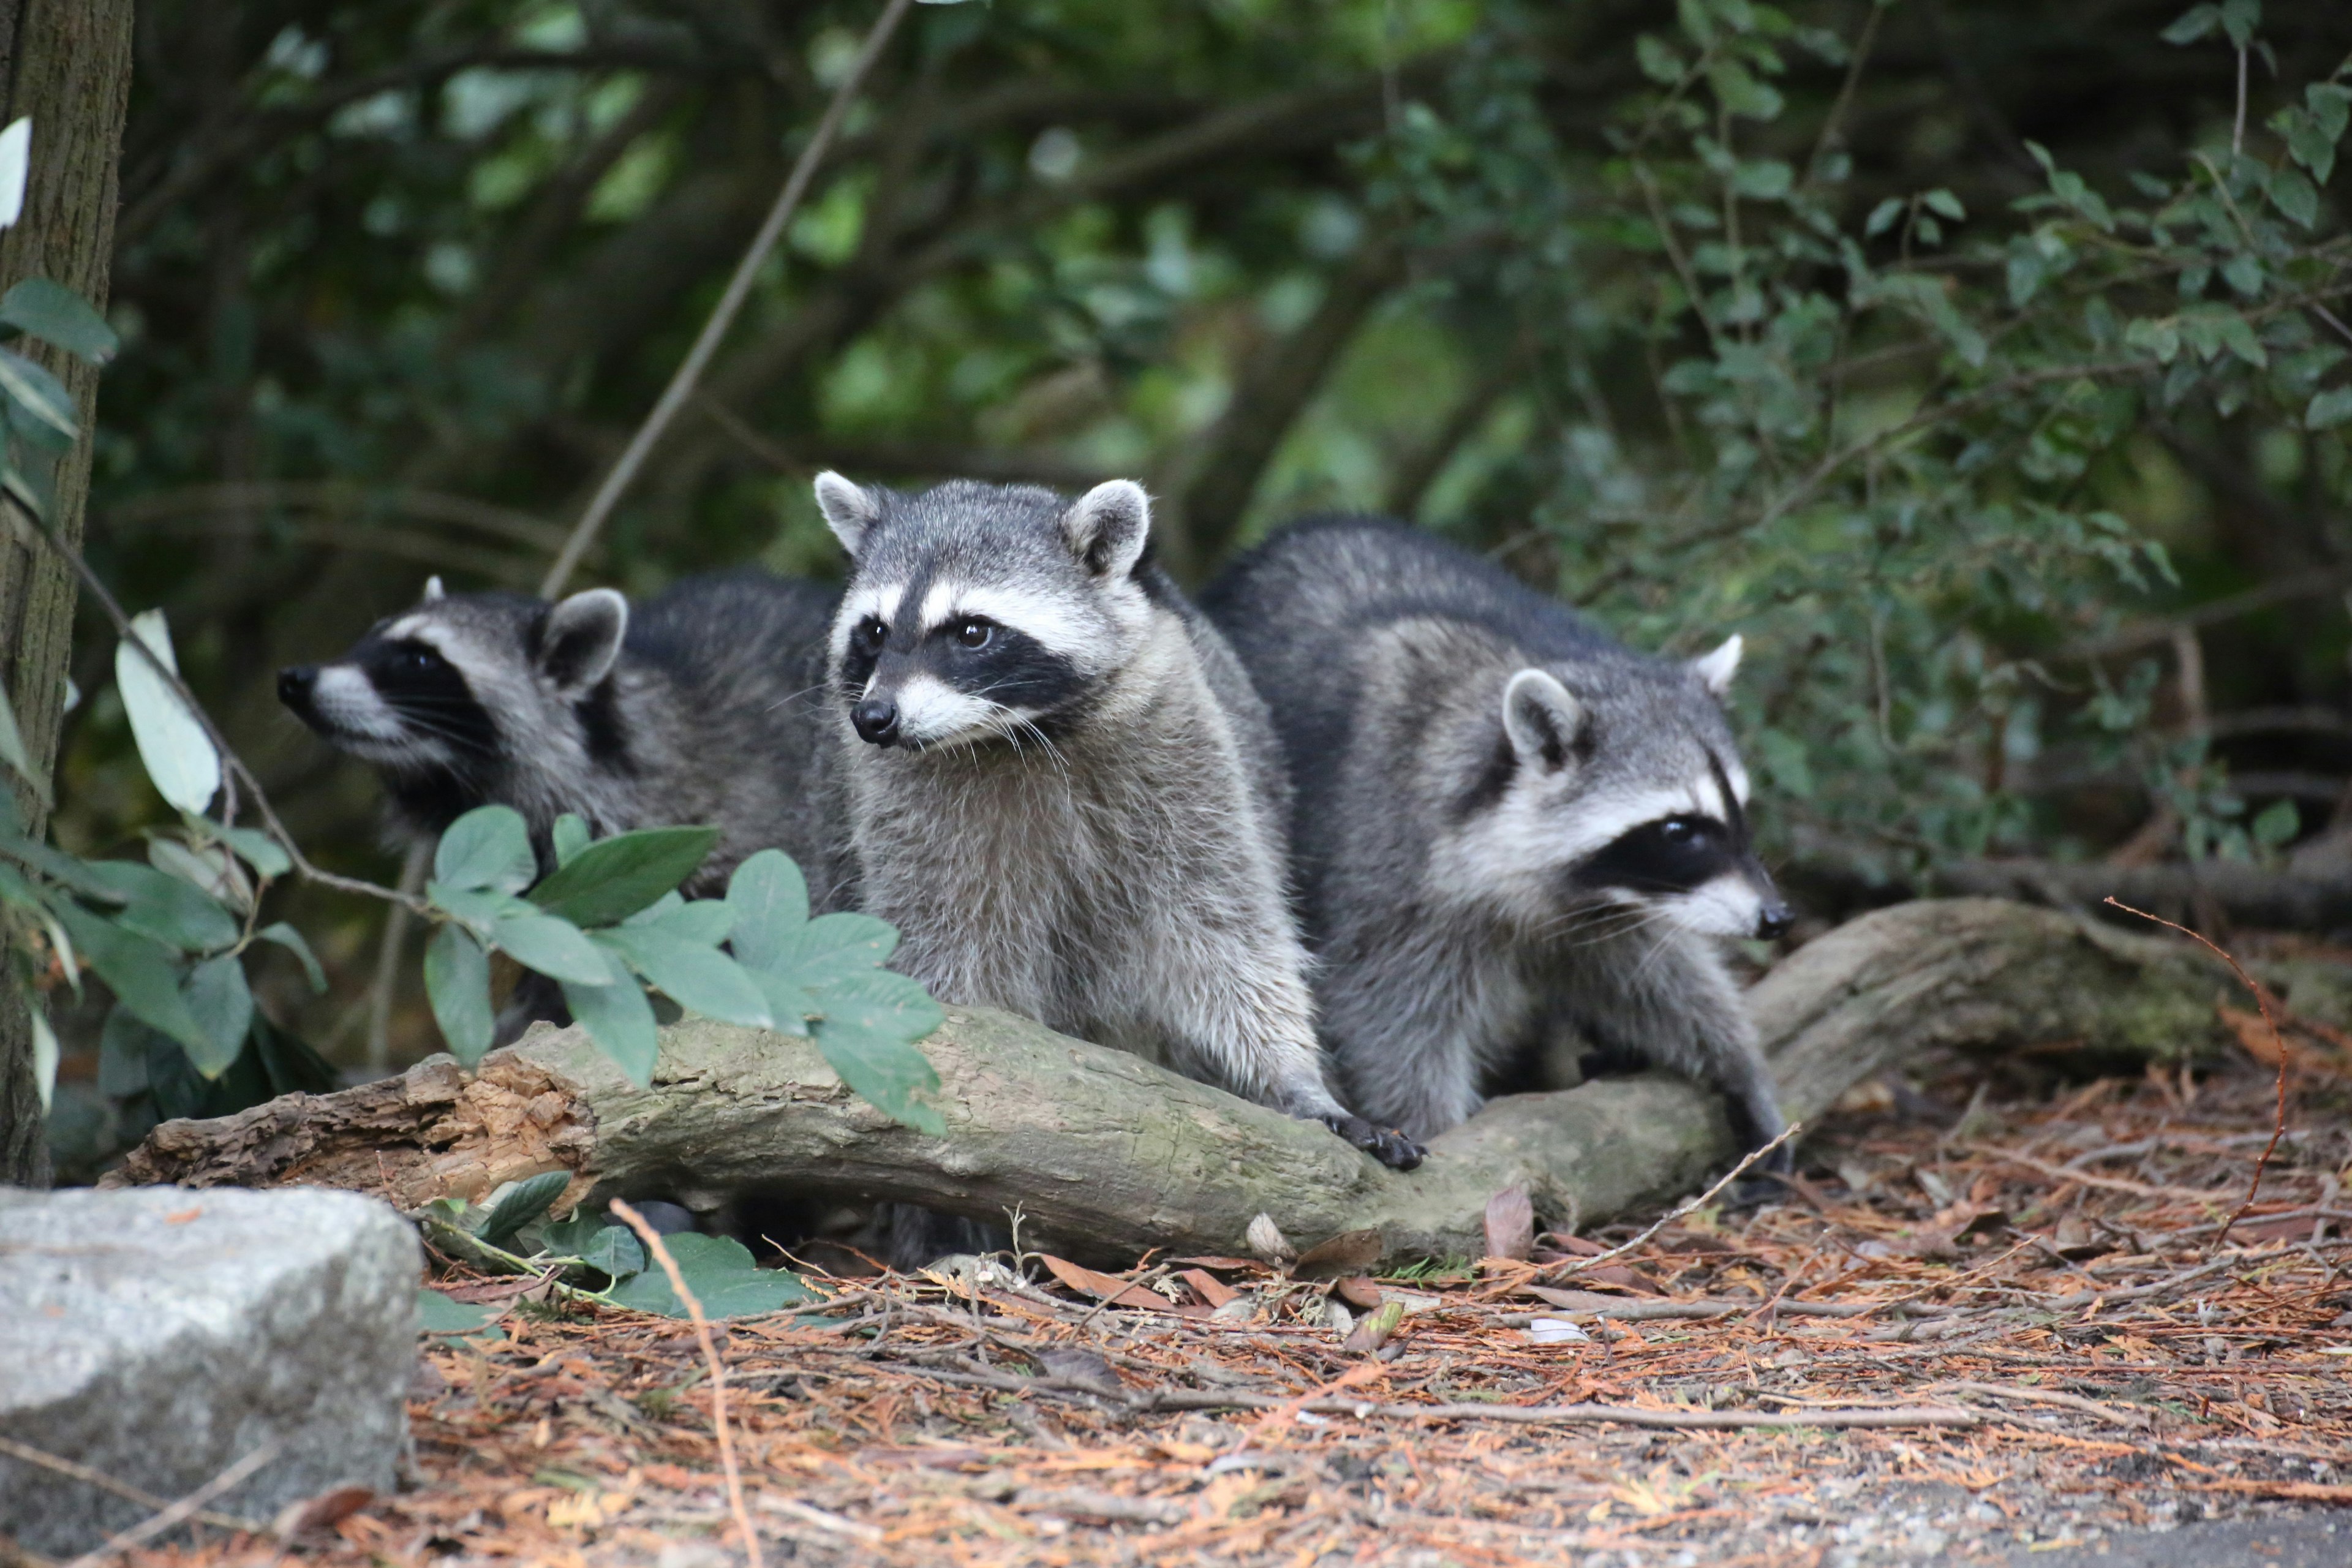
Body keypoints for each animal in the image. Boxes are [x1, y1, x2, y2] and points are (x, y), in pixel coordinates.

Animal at [818, 472, 1420, 1170]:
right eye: (875, 631)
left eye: (971, 632)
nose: (875, 719)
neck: (1013, 734)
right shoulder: (908, 813)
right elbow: (941, 945)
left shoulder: (1185, 750)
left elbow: (1227, 932)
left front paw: (1297, 1078)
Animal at [1204, 522, 1787, 1161]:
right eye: (1680, 831)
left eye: (1740, 812)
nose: (1776, 917)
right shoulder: (1386, 854)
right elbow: (1388, 1012)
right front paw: (1429, 1122)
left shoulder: (1610, 902)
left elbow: (1653, 973)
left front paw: (1738, 1060)